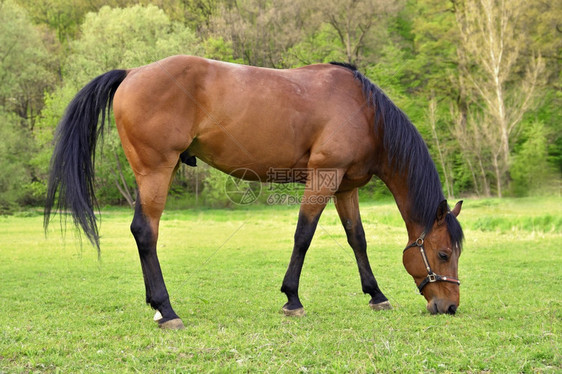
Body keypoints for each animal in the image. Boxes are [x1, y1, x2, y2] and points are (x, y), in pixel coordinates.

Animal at [44, 54, 464, 328]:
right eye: (443, 254)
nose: (450, 306)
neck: (363, 110)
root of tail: (132, 72)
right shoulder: (323, 176)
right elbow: (303, 235)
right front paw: (292, 299)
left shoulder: (345, 187)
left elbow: (356, 238)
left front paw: (376, 295)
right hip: (156, 171)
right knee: (146, 232)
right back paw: (167, 310)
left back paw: (157, 307)